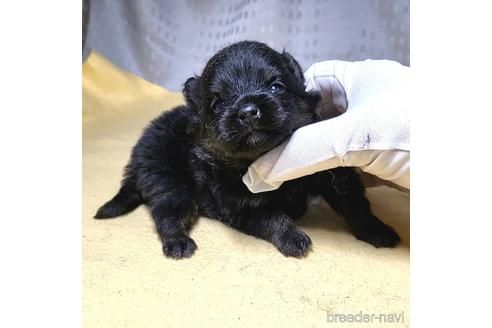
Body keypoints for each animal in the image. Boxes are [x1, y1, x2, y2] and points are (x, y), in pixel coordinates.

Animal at [95, 41, 400, 258]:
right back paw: (178, 243)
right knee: (168, 213)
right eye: (217, 104)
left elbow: (355, 204)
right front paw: (293, 237)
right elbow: (272, 215)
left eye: (276, 87)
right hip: (170, 183)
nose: (248, 111)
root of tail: (138, 153)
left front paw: (377, 230)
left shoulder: (332, 175)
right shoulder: (240, 206)